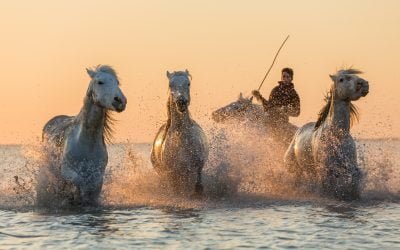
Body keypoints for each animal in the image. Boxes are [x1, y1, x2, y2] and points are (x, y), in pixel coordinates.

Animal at [38, 65, 126, 207]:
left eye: (117, 82)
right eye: (100, 82)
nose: (120, 101)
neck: (87, 142)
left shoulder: (98, 175)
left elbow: (93, 188)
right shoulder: (66, 170)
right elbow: (78, 182)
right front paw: (76, 196)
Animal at [284, 68, 368, 199]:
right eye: (341, 79)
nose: (364, 84)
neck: (337, 135)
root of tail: (298, 132)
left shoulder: (349, 166)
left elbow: (354, 180)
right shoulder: (325, 170)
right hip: (295, 169)